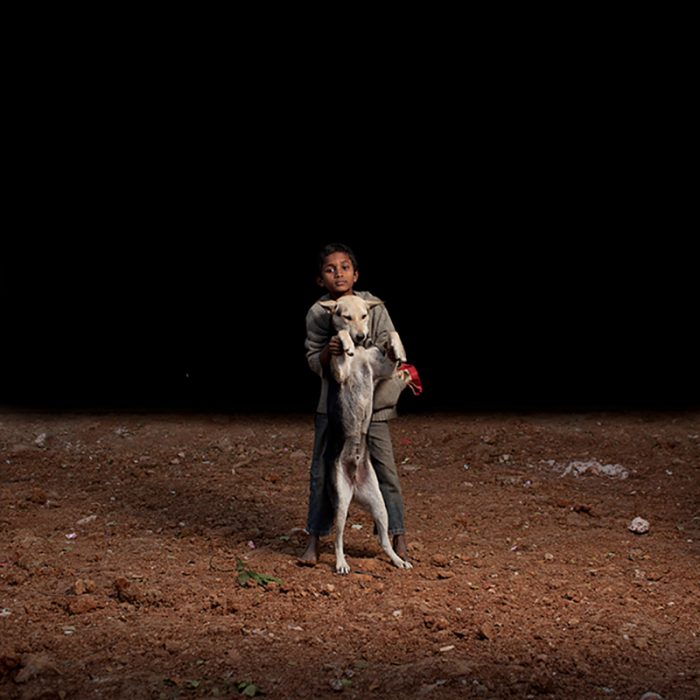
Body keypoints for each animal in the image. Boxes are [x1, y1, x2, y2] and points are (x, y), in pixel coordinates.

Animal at [318, 296, 410, 576]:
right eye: (346, 316)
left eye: (365, 316)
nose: (361, 336)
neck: (359, 353)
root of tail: (355, 484)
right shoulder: (340, 371)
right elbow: (340, 338)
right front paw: (345, 341)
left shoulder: (382, 367)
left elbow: (393, 334)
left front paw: (399, 350)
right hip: (341, 505)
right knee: (338, 539)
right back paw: (341, 563)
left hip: (380, 507)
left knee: (383, 541)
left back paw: (398, 560)